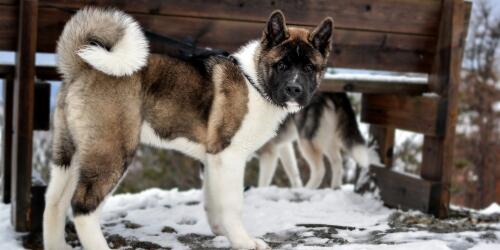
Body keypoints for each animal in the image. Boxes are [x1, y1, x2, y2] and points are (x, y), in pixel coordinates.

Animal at [42, 6, 332, 249]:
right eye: (282, 65)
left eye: (309, 68)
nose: (294, 89)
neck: (255, 82)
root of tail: (81, 66)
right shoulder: (229, 155)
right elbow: (232, 203)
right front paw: (243, 241)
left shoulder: (213, 158)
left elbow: (213, 199)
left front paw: (222, 232)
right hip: (112, 152)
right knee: (83, 206)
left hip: (69, 154)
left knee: (54, 203)